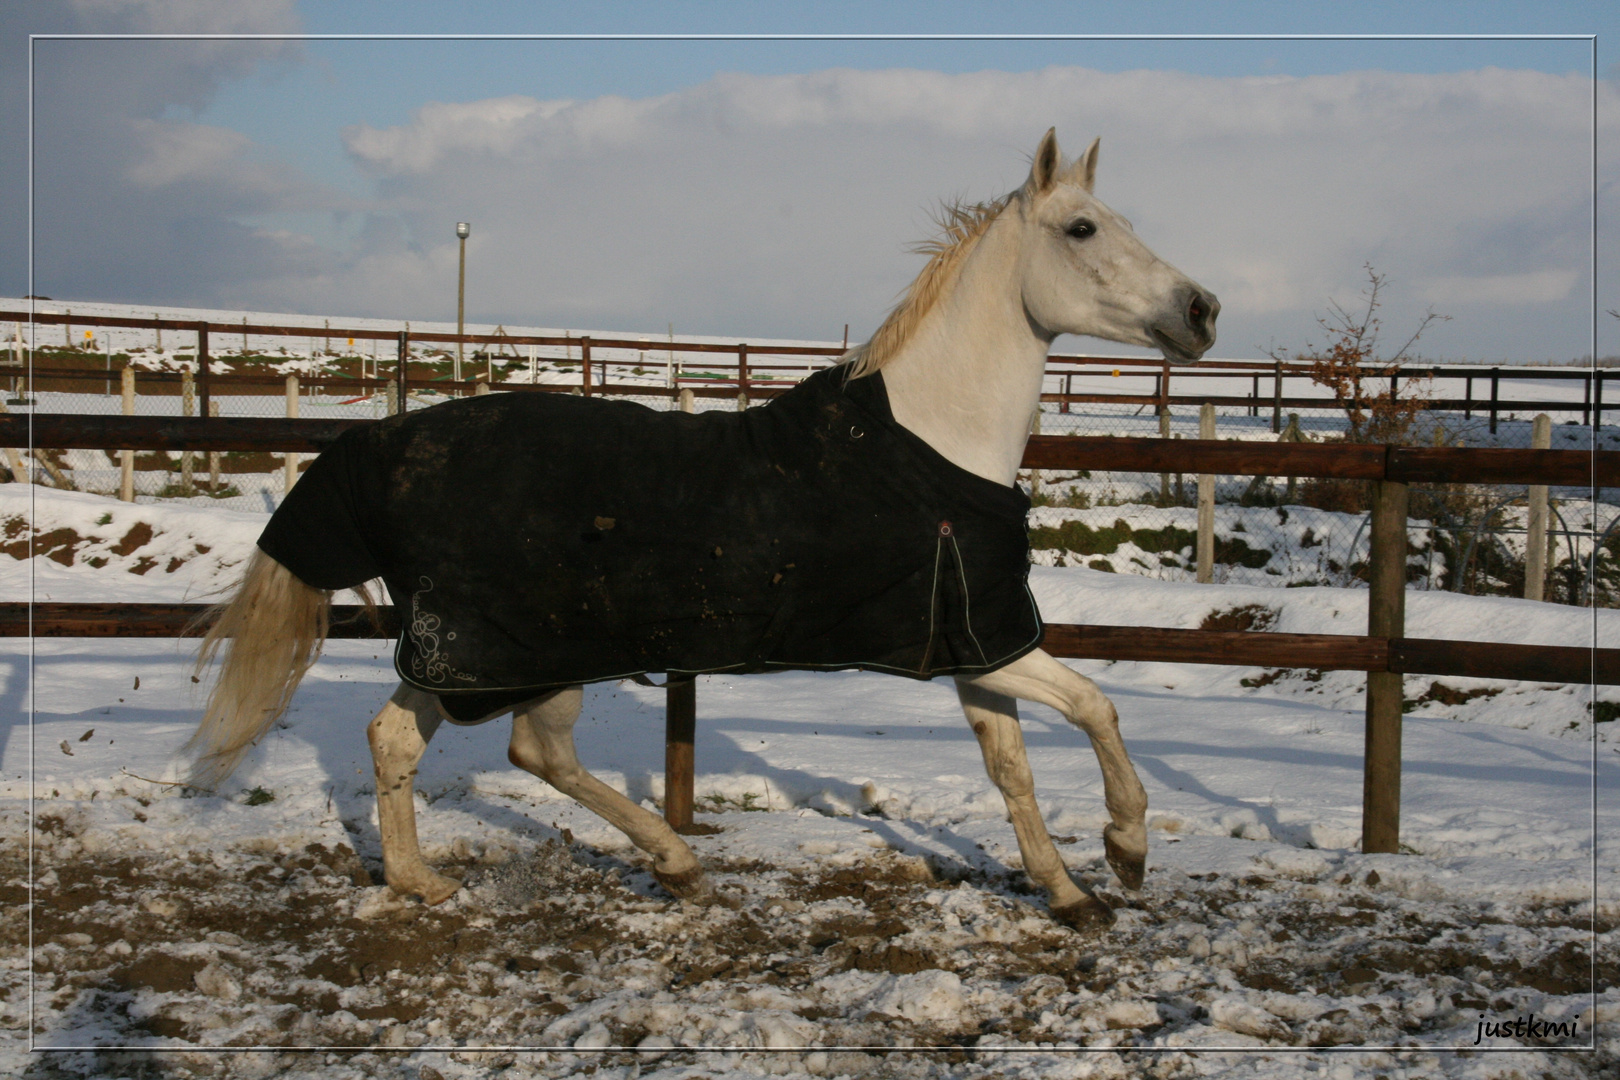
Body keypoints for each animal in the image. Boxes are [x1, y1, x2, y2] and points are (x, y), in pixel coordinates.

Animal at [189, 131, 1218, 932]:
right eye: (1083, 229)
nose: (1202, 312)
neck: (934, 444)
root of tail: (379, 445)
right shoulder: (994, 643)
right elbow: (1097, 708)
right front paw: (1124, 850)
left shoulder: (973, 640)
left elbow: (1013, 769)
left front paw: (1069, 892)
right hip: (520, 653)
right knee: (526, 751)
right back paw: (669, 865)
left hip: (478, 657)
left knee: (405, 739)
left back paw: (425, 882)